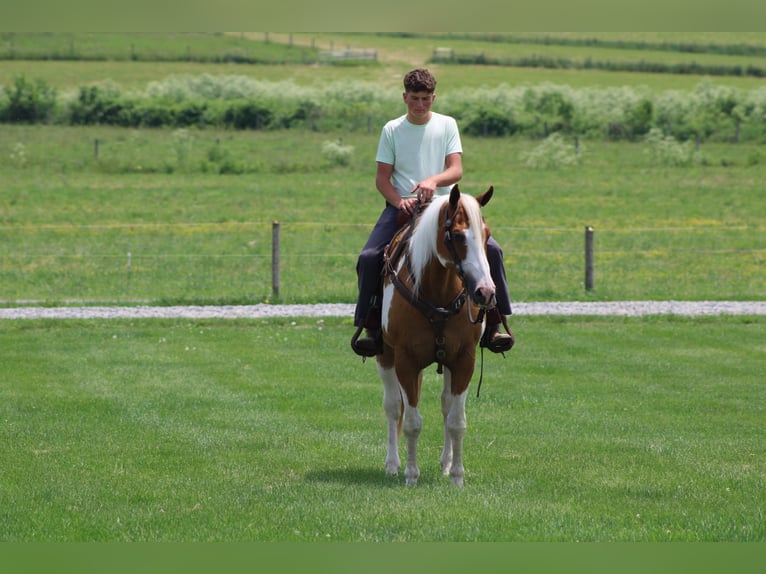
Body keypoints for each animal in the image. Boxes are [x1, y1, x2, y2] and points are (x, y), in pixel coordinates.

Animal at [378, 184, 496, 486]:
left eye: (487, 234)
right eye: (458, 235)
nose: (486, 292)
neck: (437, 293)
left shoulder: (464, 360)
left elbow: (456, 421)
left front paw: (456, 476)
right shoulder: (406, 361)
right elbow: (411, 422)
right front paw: (411, 475)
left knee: (445, 405)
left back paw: (445, 462)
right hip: (385, 356)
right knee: (393, 407)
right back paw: (393, 463)